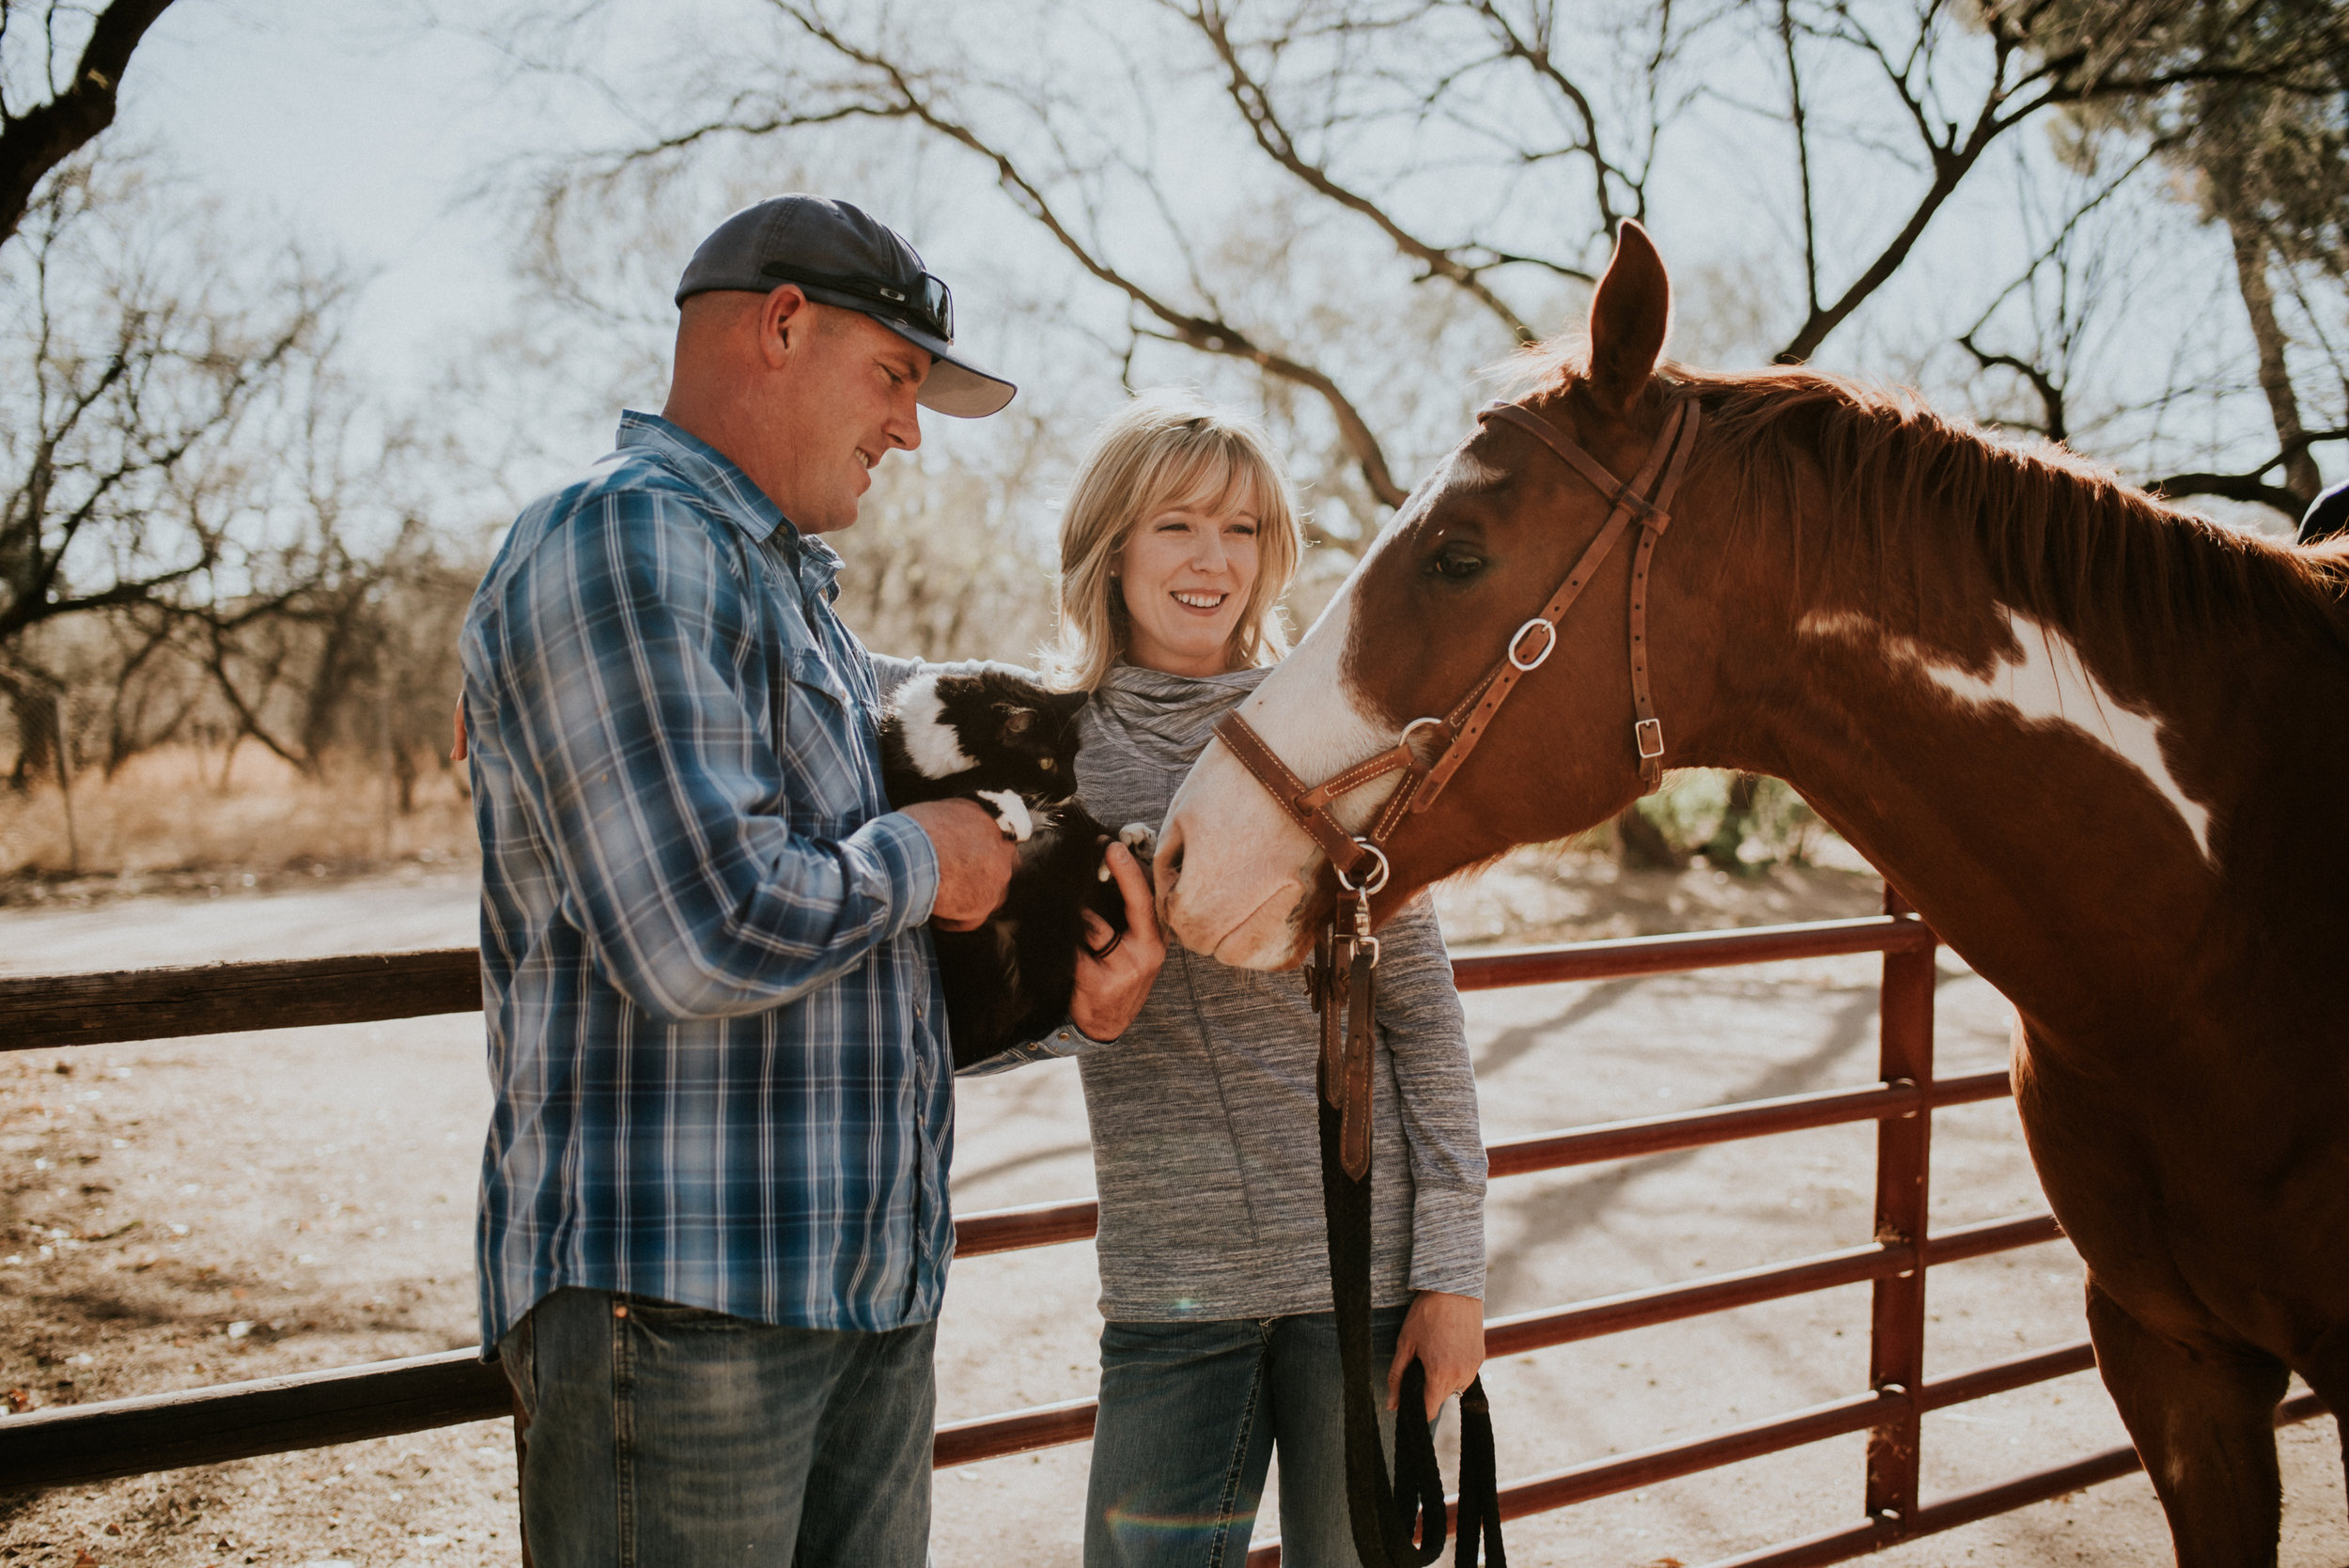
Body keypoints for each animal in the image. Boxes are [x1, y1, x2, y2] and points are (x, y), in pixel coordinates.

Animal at [883, 666, 1146, 1070]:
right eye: (1045, 761)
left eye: (1073, 757)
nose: (1072, 787)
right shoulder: (903, 784)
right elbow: (953, 784)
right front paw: (1013, 812)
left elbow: (1078, 816)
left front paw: (1117, 833)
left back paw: (1123, 846)